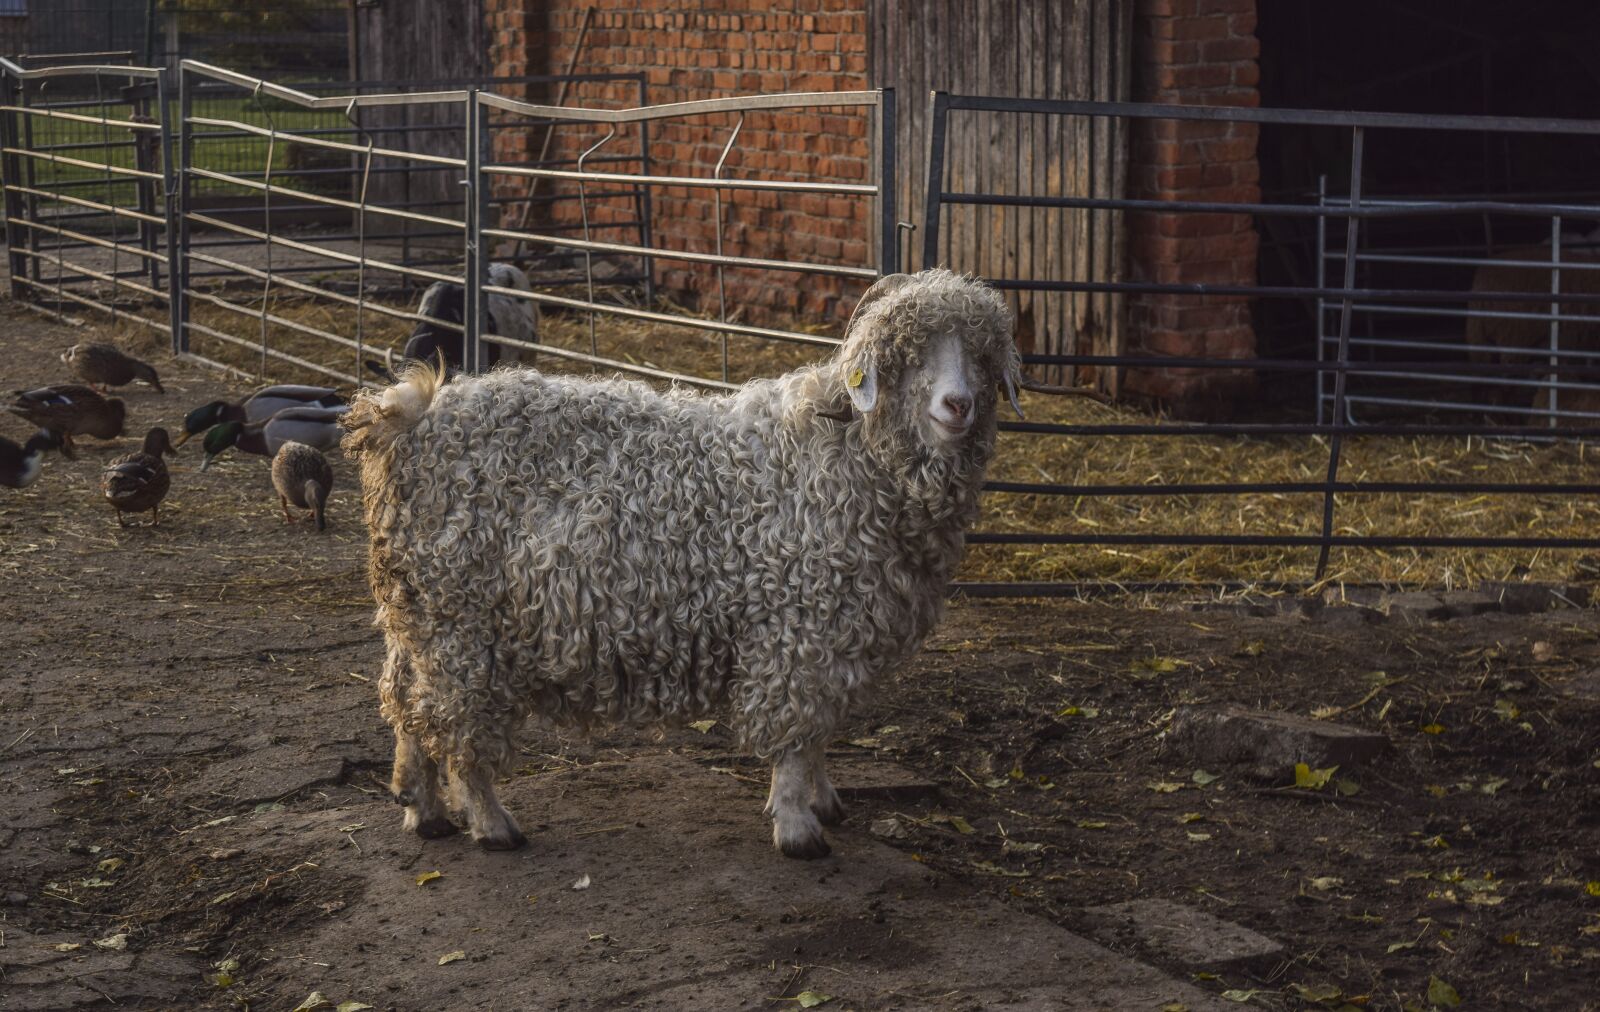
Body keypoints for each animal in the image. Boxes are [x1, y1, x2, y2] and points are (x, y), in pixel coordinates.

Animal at [342, 269, 1021, 858]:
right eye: (907, 355)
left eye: (982, 355)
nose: (957, 405)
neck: (842, 454)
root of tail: (409, 417)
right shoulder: (795, 628)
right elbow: (797, 736)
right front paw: (798, 826)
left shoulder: (833, 633)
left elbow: (820, 731)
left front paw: (824, 799)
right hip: (463, 622)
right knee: (457, 723)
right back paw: (490, 822)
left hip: (418, 613)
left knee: (405, 700)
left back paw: (422, 808)